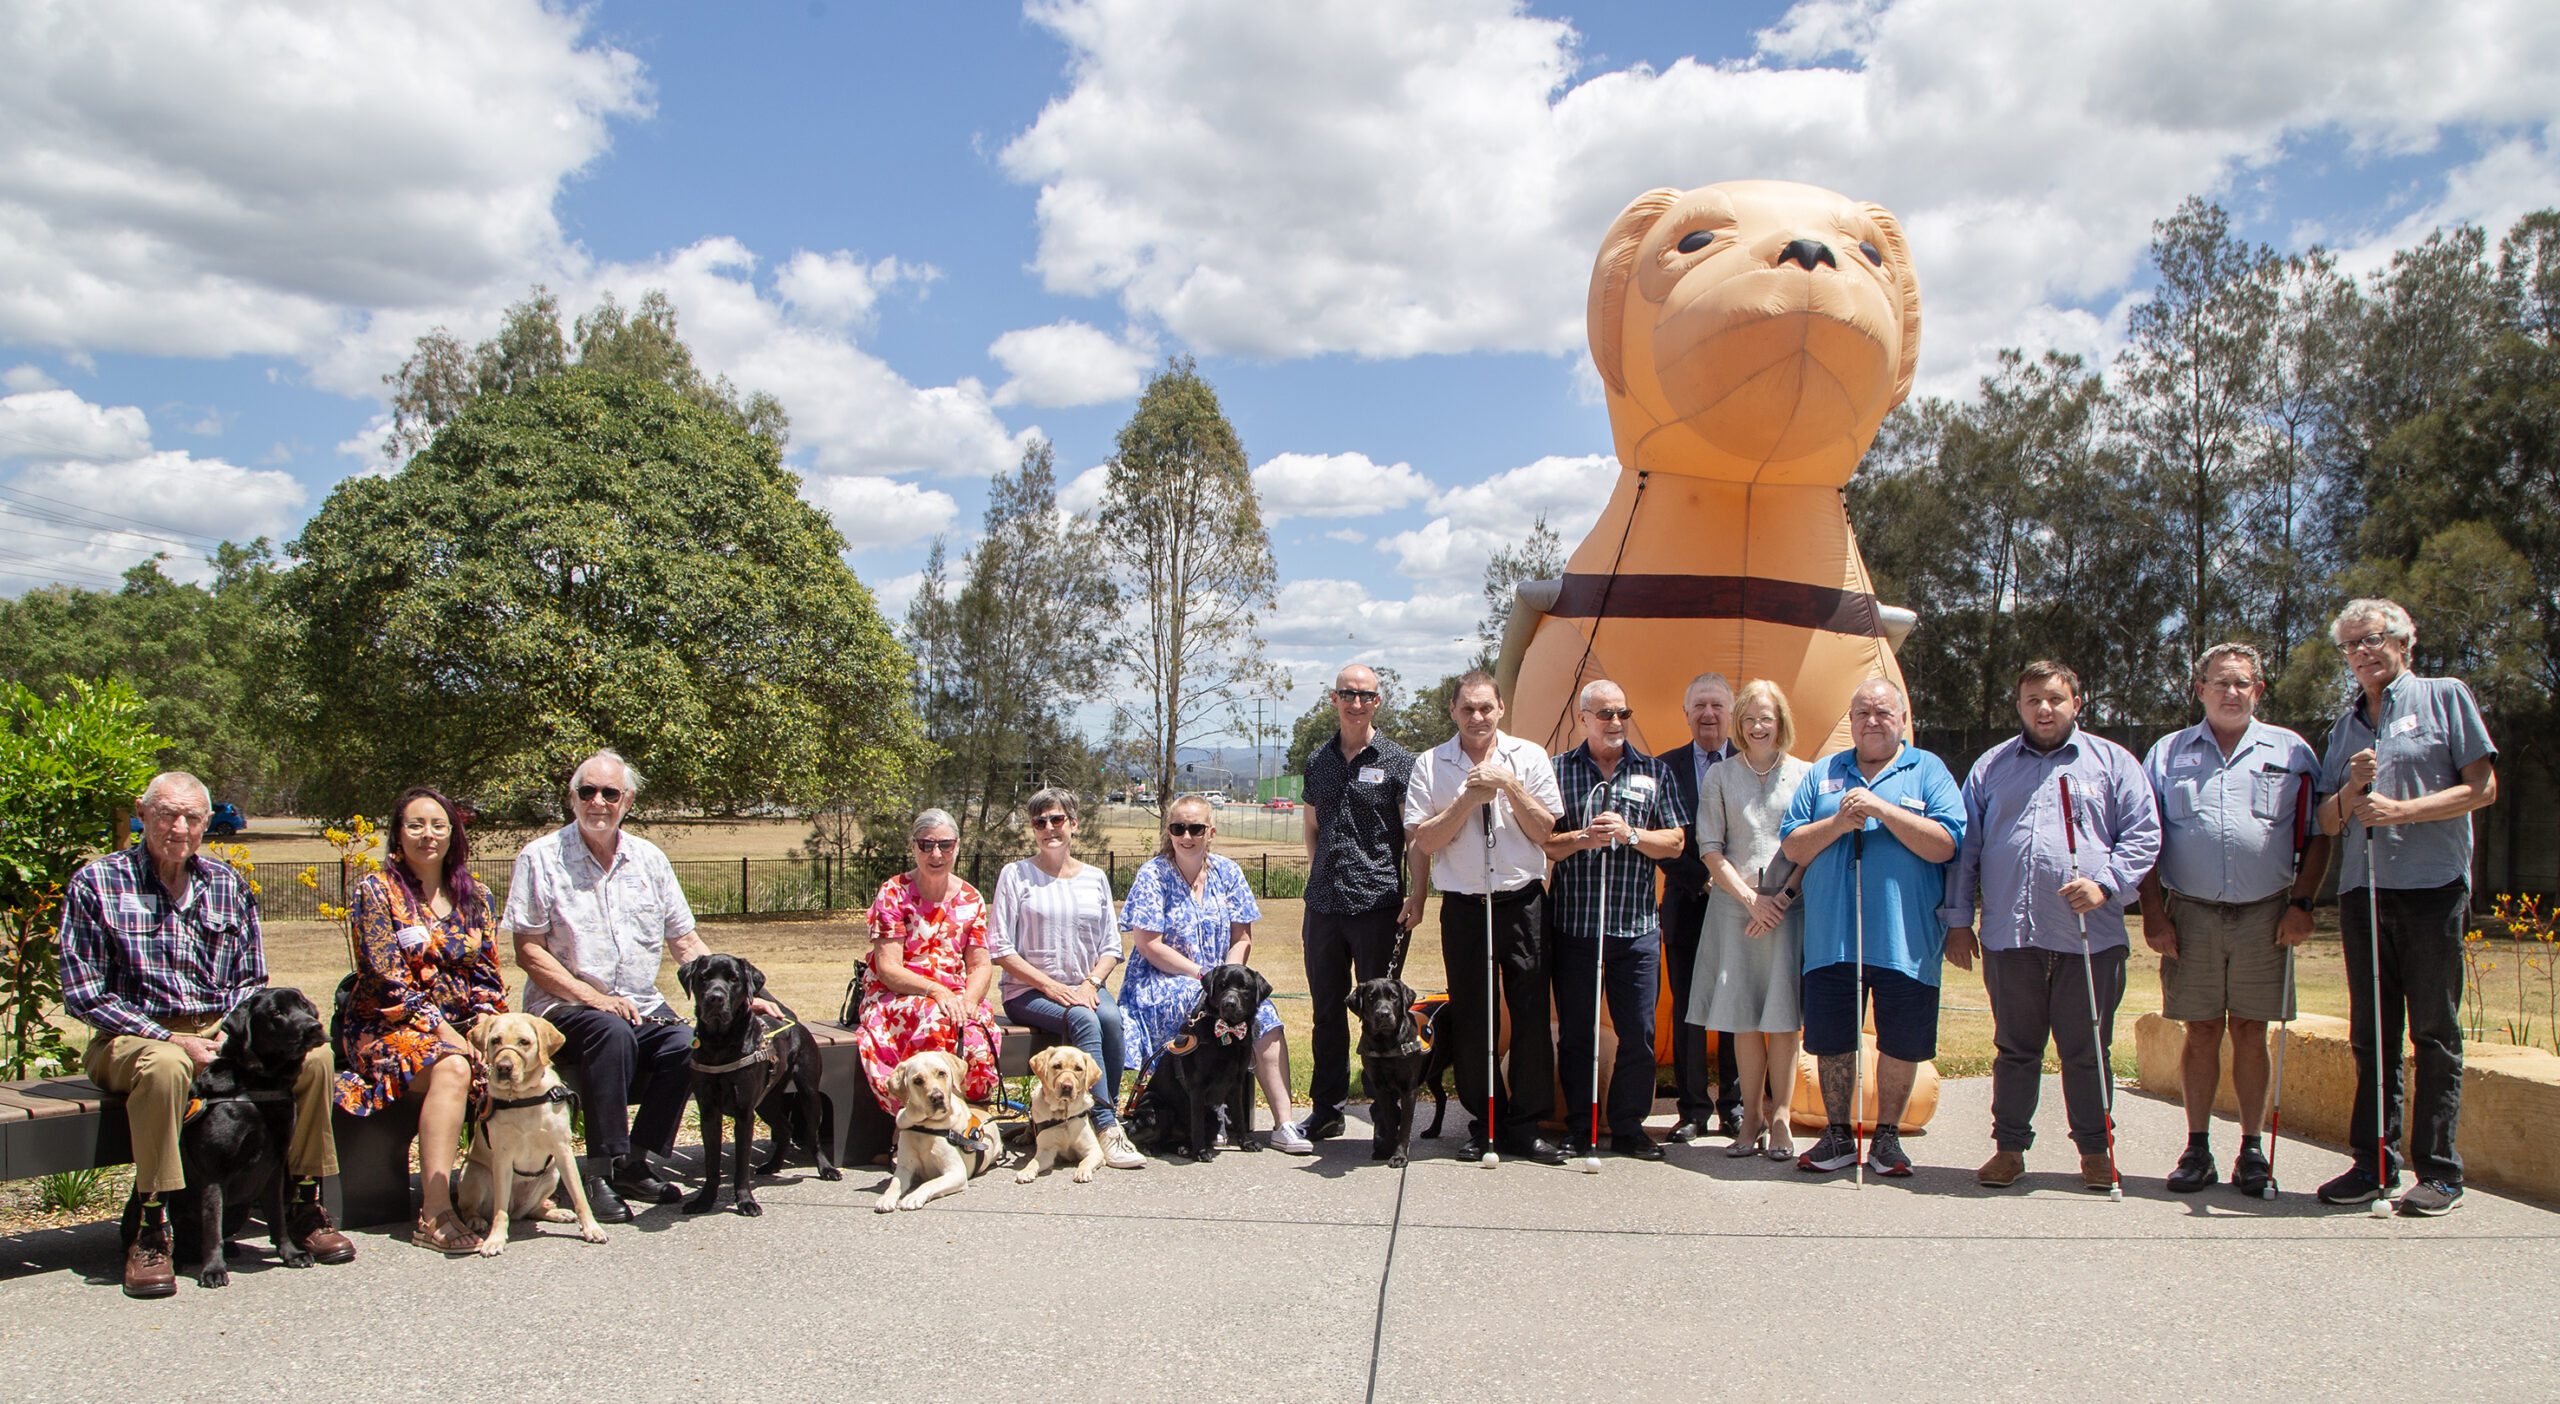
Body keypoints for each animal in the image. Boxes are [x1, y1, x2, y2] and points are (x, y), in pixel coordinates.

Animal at [120, 988, 327, 1281]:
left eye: (305, 1007)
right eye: (276, 1012)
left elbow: (277, 1218)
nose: (314, 1027)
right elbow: (212, 1228)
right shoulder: (213, 1172)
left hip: (239, 1209)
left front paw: (291, 1254)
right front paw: (214, 1270)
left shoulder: (275, 1167)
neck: (258, 1086)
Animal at [458, 1014, 611, 1255]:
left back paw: (556, 1212)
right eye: (495, 1041)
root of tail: (516, 1209)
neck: (523, 1097)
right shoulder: (502, 1158)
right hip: (475, 1173)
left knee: (533, 1210)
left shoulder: (563, 1151)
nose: (503, 1067)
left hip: (551, 1174)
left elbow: (579, 1196)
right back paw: (476, 1220)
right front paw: (495, 1239)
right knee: (474, 1208)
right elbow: (499, 1210)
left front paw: (592, 1228)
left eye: (524, 1042)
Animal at [680, 953, 839, 1219]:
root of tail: (791, 1019)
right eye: (703, 977)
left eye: (734, 979)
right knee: (785, 1127)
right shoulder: (708, 1112)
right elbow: (711, 1163)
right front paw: (704, 1200)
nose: (715, 997)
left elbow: (741, 1163)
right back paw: (773, 1164)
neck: (720, 1043)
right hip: (767, 1101)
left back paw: (826, 1168)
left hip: (808, 1092)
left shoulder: (744, 1113)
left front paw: (745, 1201)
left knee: (811, 1134)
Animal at [880, 1045, 998, 1214]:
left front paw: (912, 1197)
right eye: (917, 1080)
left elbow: (930, 1183)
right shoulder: (904, 1167)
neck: (925, 1126)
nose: (937, 1097)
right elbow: (894, 1183)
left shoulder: (955, 1172)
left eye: (941, 1073)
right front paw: (886, 1198)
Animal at [1131, 963, 1269, 1163]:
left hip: (1213, 1117)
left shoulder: (1236, 1083)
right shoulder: (1197, 1086)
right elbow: (1196, 1124)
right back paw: (1153, 1148)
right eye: (1222, 985)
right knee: (1137, 1137)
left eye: (1244, 987)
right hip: (1158, 1109)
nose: (1229, 1003)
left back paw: (1183, 1148)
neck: (1229, 1033)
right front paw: (1200, 1152)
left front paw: (1246, 1143)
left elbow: (1239, 1117)